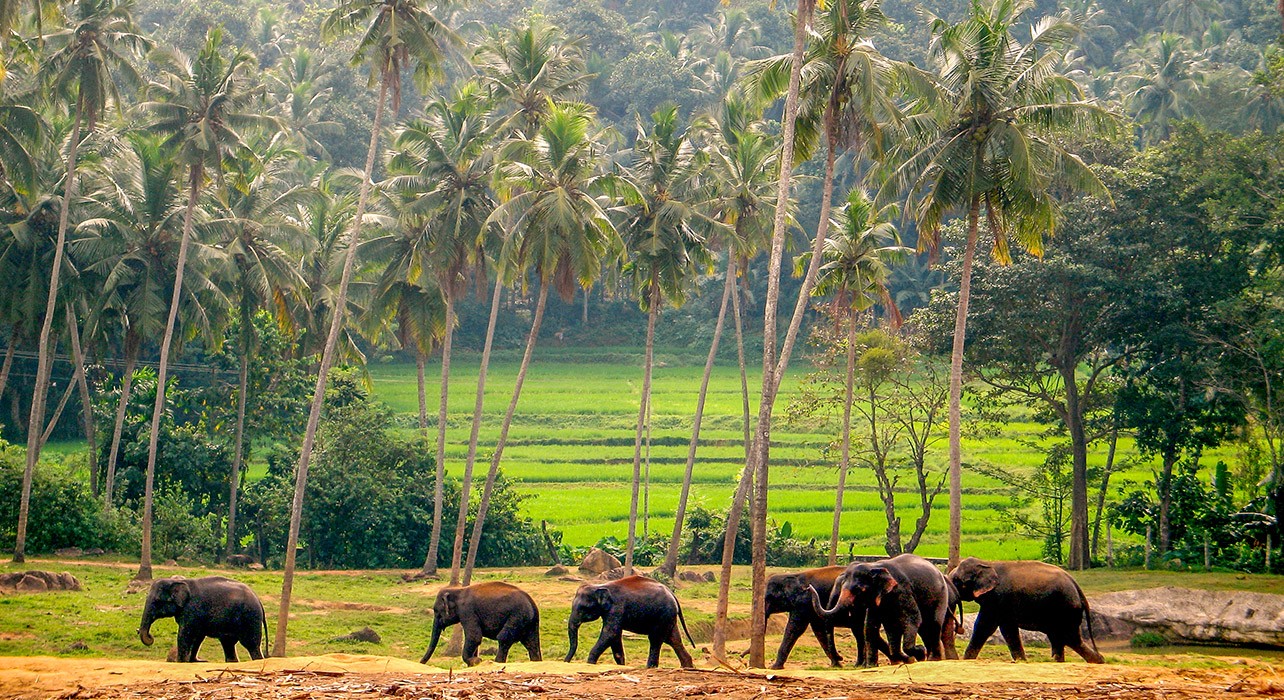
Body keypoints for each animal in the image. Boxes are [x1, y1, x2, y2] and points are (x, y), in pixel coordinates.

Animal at [139, 572, 267, 662]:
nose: (150, 636)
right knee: (228, 643)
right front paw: (193, 661)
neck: (179, 581)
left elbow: (185, 634)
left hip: (250, 618)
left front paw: (181, 661)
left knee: (251, 645)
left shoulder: (192, 609)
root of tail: (259, 600)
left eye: (156, 601)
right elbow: (197, 637)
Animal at [567, 575, 698, 667]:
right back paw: (687, 666)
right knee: (673, 640)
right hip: (668, 618)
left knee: (656, 639)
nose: (566, 662)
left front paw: (590, 663)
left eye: (583, 608)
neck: (600, 586)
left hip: (663, 615)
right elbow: (615, 636)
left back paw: (650, 667)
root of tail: (672, 594)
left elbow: (610, 633)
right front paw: (621, 664)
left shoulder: (617, 608)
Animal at [945, 554, 1104, 662]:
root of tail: (1077, 586)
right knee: (1059, 638)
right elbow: (1006, 629)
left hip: (1065, 609)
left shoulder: (997, 599)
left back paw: (1098, 660)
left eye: (957, 581)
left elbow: (985, 627)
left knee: (1069, 637)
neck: (987, 563)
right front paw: (1022, 661)